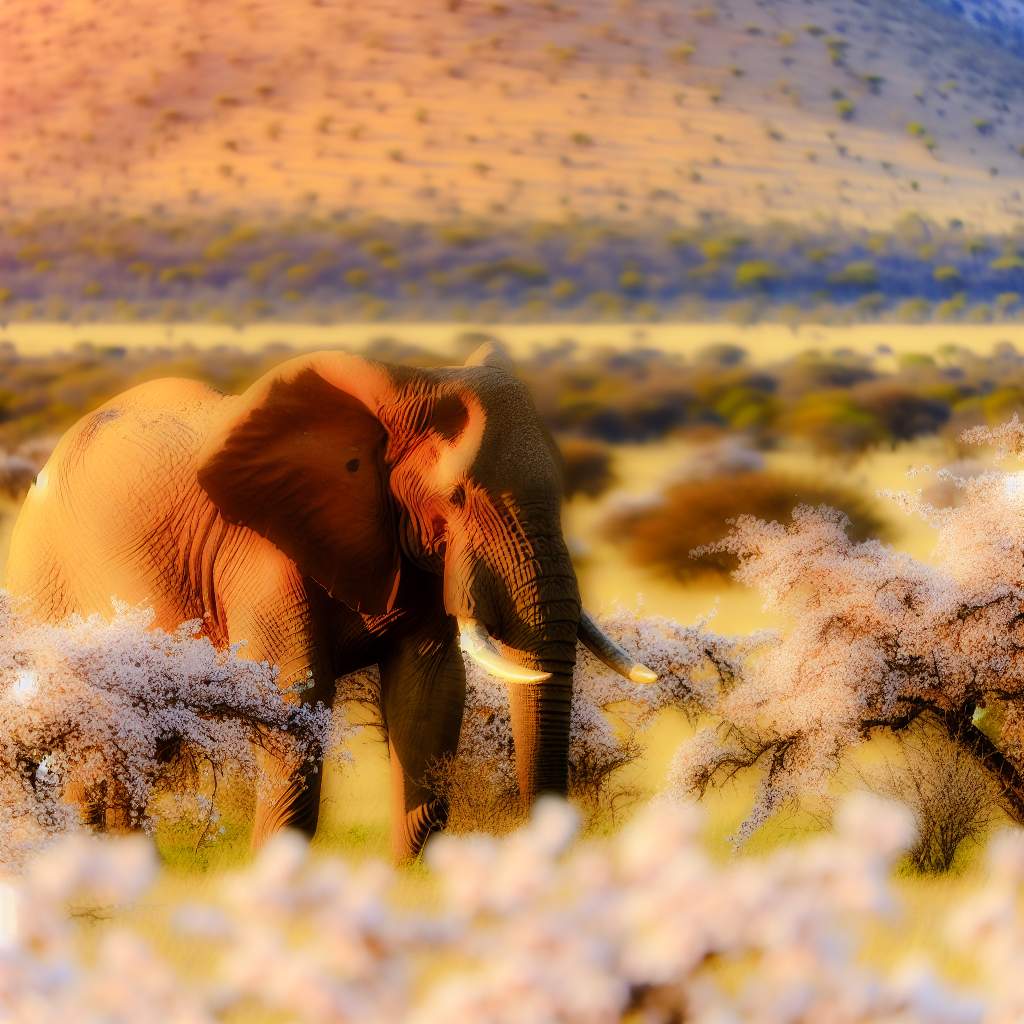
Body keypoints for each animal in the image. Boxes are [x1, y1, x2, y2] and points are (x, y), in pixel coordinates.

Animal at [4, 346, 651, 864]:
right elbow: (295, 694)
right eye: (459, 496)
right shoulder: (259, 549)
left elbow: (430, 697)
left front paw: (410, 879)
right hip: (47, 577)